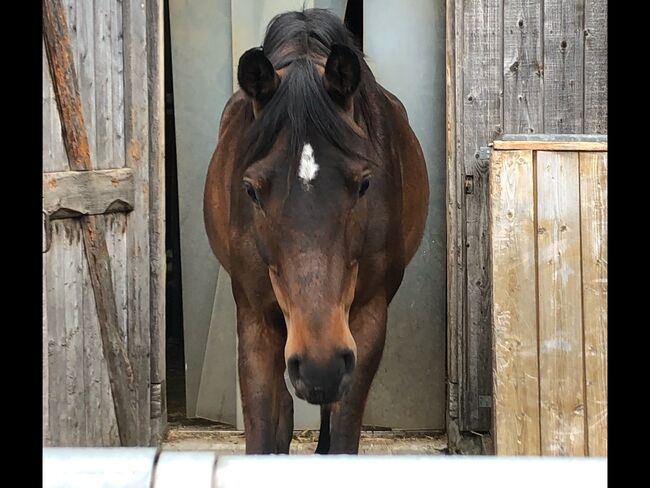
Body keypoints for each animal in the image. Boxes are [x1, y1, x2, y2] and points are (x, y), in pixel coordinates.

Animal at [201, 10, 426, 454]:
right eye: (251, 190)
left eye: (364, 184)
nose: (319, 366)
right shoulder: (255, 318)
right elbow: (262, 425)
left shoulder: (366, 320)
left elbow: (341, 432)